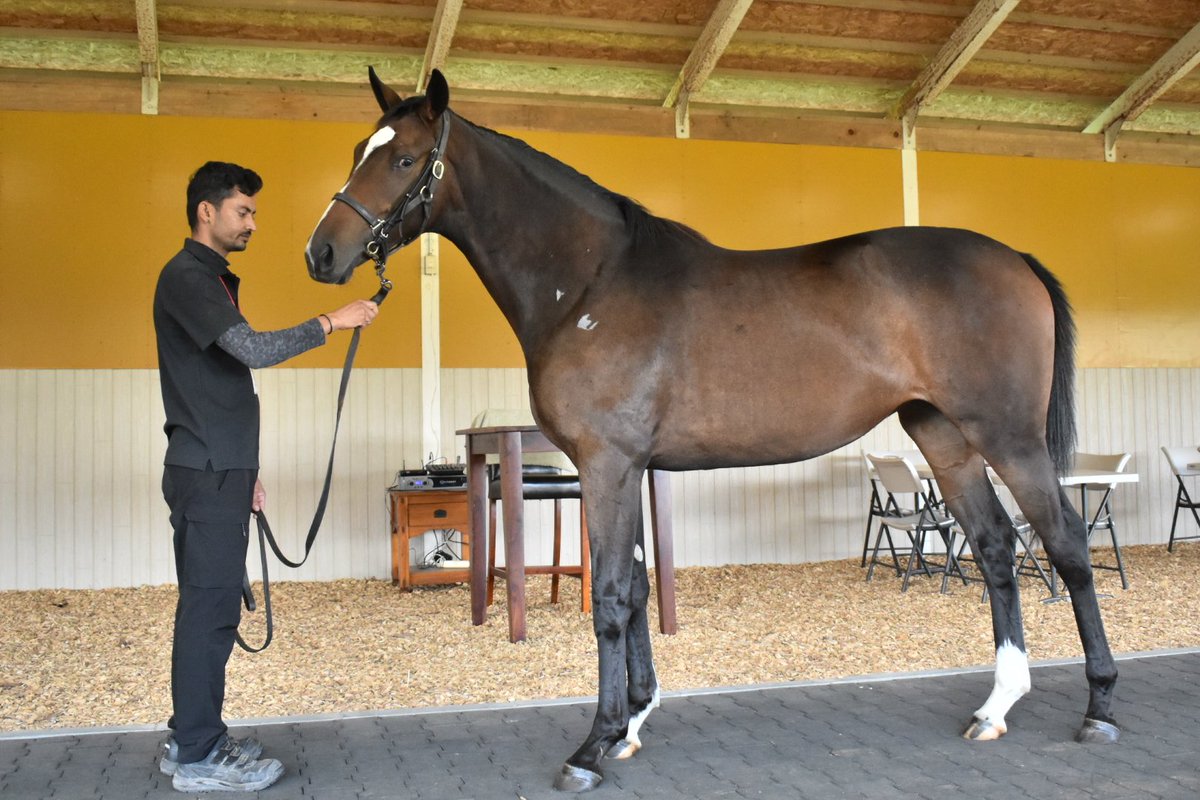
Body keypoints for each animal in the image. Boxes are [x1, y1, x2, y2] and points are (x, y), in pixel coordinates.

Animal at [305, 68, 1121, 792]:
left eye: (404, 158)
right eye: (358, 149)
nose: (322, 253)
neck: (590, 285)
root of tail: (1015, 259)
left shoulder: (607, 463)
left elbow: (609, 596)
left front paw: (591, 747)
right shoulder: (629, 466)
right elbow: (635, 584)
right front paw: (632, 723)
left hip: (1009, 437)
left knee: (1065, 544)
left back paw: (1100, 707)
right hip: (944, 437)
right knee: (995, 548)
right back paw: (995, 706)